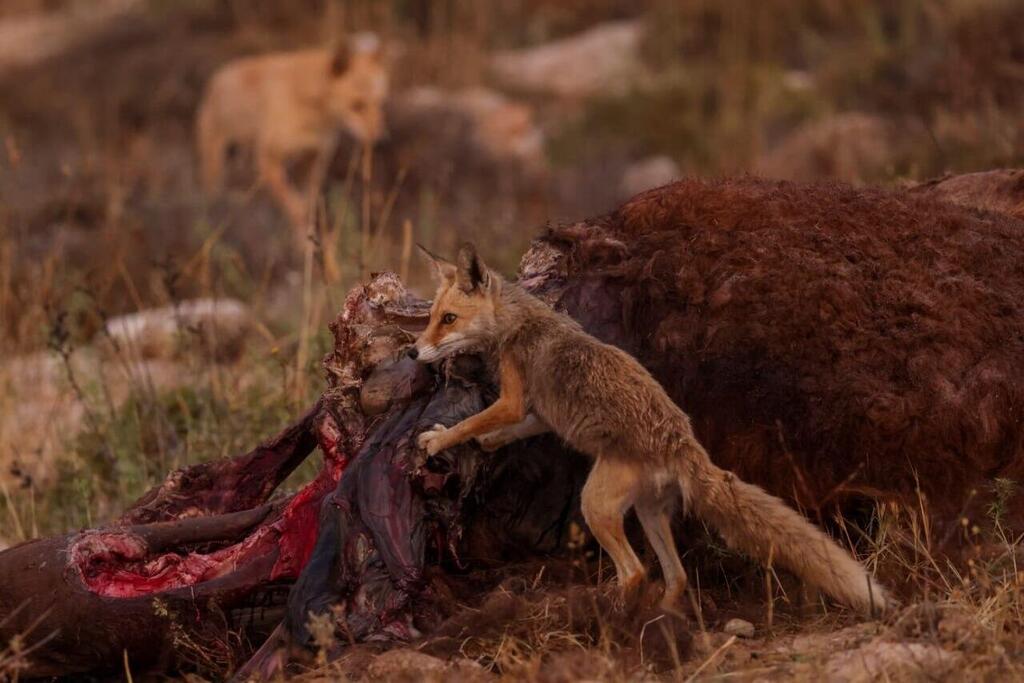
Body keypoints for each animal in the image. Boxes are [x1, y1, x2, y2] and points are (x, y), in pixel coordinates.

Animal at [195, 33, 387, 232]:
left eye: (380, 103)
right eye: (357, 105)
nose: (382, 141)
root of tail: (216, 78)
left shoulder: (314, 162)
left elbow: (305, 208)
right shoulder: (268, 161)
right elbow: (296, 210)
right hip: (216, 166)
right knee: (212, 195)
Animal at [409, 244, 897, 614]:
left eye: (448, 319)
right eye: (431, 316)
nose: (414, 352)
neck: (517, 322)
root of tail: (683, 445)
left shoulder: (512, 397)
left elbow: (470, 421)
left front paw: (436, 440)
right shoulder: (538, 413)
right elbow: (507, 430)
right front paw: (486, 441)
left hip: (595, 506)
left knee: (636, 571)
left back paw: (607, 617)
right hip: (647, 513)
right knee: (675, 577)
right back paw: (659, 622)